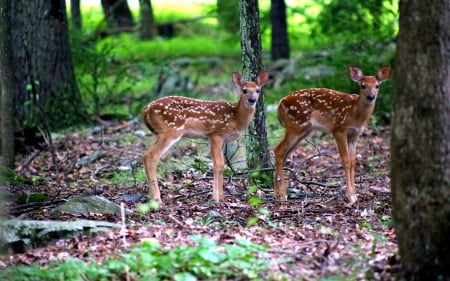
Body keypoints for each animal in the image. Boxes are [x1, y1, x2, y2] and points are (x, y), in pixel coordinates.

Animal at [141, 71, 268, 202]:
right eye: (244, 90)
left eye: (258, 90)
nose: (252, 100)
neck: (235, 117)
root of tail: (146, 109)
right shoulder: (216, 134)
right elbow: (218, 165)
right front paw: (216, 198)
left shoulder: (222, 139)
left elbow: (222, 164)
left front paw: (222, 197)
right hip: (171, 130)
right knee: (151, 156)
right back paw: (157, 198)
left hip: (162, 132)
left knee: (145, 155)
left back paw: (151, 197)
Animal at [272, 66, 392, 205]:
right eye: (363, 85)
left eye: (377, 85)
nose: (371, 96)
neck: (355, 113)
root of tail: (280, 104)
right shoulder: (338, 129)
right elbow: (346, 160)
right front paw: (350, 196)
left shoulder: (355, 135)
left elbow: (353, 161)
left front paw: (355, 194)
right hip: (296, 125)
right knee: (279, 150)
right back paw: (281, 194)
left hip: (304, 130)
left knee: (284, 153)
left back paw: (280, 193)